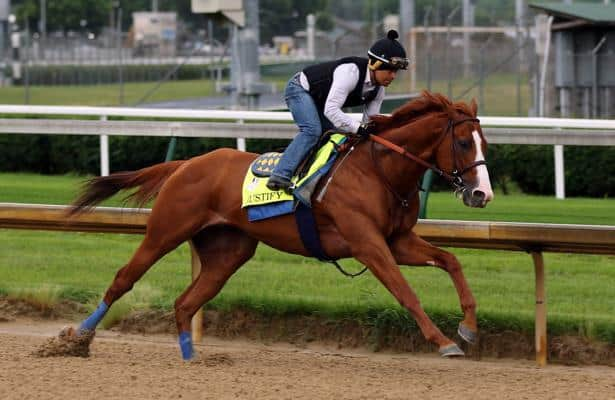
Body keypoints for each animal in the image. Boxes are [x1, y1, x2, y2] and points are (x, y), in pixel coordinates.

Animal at [67, 90, 496, 360]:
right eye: (463, 143)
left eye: (485, 144)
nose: (482, 194)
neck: (380, 171)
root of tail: (186, 164)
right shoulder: (368, 244)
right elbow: (406, 293)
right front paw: (443, 341)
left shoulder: (397, 241)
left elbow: (452, 261)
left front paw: (469, 328)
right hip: (165, 231)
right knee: (124, 279)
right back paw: (77, 338)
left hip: (228, 252)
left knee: (185, 302)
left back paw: (191, 357)